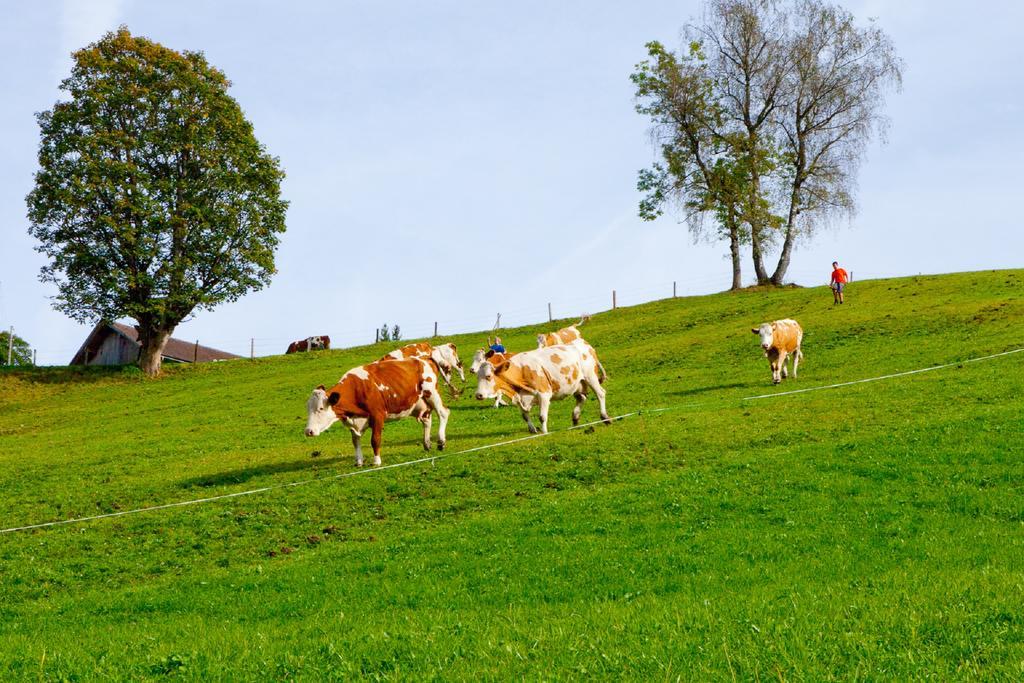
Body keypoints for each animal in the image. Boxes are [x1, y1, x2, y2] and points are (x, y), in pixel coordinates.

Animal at [303, 358, 448, 464]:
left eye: (321, 408)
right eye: (308, 408)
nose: (308, 431)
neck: (356, 389)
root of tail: (424, 358)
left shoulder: (378, 416)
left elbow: (375, 440)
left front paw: (377, 461)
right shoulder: (353, 421)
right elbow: (355, 441)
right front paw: (359, 462)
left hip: (432, 394)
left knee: (443, 413)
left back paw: (441, 441)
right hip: (420, 403)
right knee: (427, 420)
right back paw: (427, 443)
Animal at [473, 339, 606, 436]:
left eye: (488, 376)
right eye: (477, 377)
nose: (478, 395)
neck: (521, 372)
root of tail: (582, 342)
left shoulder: (544, 394)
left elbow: (542, 417)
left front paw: (544, 432)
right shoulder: (519, 398)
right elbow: (525, 416)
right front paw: (533, 430)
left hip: (591, 377)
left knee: (600, 393)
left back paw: (604, 417)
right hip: (576, 384)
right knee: (581, 398)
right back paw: (575, 418)